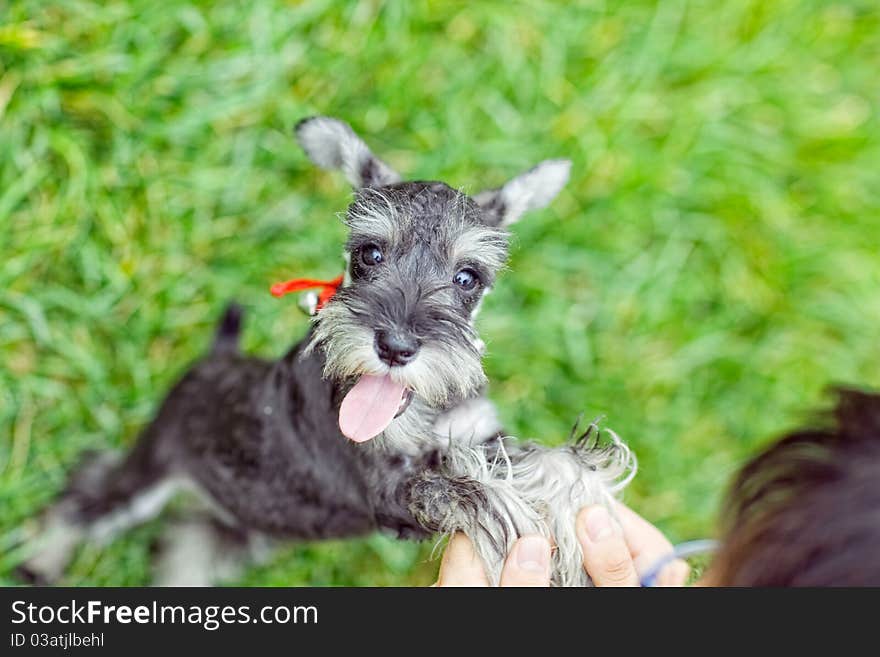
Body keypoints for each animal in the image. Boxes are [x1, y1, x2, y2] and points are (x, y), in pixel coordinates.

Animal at [15, 116, 632, 584]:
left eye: (468, 278)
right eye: (370, 253)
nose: (396, 346)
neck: (420, 411)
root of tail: (217, 357)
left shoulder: (478, 433)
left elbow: (546, 458)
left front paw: (579, 497)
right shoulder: (387, 490)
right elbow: (466, 487)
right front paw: (530, 522)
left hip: (231, 525)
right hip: (150, 469)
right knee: (87, 495)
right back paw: (41, 560)